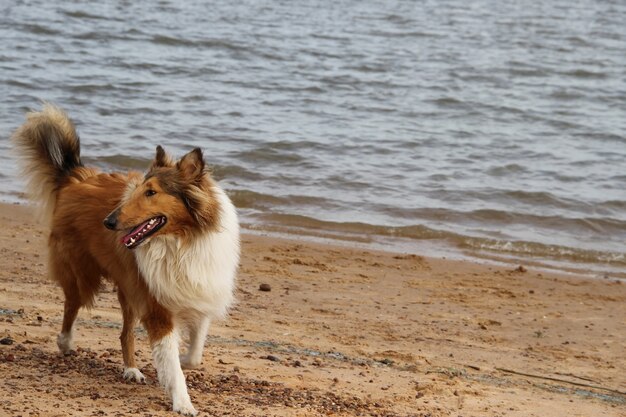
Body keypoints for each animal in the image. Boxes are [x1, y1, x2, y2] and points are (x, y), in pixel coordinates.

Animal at [12, 104, 241, 412]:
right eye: (139, 190)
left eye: (152, 192)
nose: (108, 222)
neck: (181, 240)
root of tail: (77, 176)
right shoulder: (157, 307)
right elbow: (172, 362)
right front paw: (182, 402)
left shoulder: (200, 293)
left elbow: (193, 353)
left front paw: (183, 361)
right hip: (84, 274)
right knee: (72, 306)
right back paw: (65, 342)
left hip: (129, 287)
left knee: (124, 333)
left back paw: (131, 369)